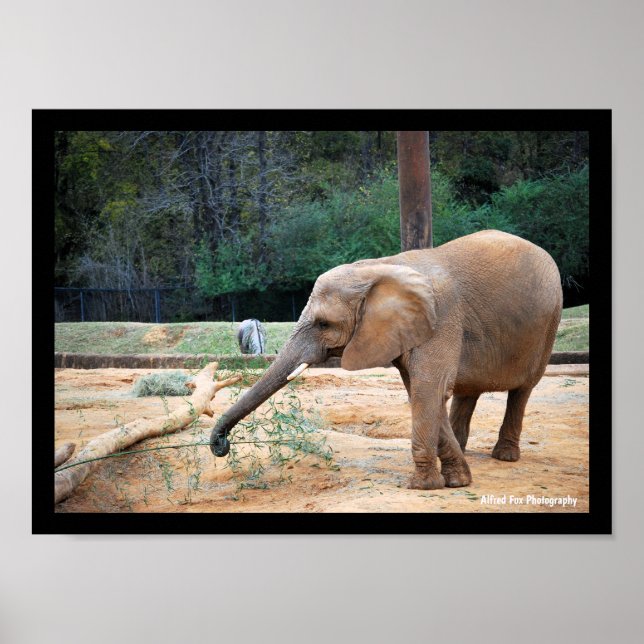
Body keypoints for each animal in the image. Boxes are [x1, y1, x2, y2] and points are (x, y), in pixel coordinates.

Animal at [211, 230, 563, 490]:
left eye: (323, 324)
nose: (221, 445)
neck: (381, 268)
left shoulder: (441, 320)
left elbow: (428, 390)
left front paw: (423, 486)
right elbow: (422, 393)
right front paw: (458, 481)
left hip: (548, 326)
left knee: (523, 390)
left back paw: (505, 456)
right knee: (467, 391)